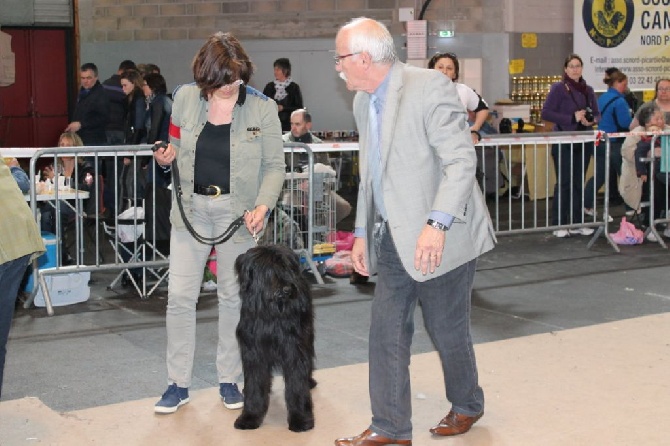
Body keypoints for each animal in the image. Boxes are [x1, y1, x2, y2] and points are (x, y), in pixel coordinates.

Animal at [234, 244, 318, 432]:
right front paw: (250, 416)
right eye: (268, 269)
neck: (271, 313)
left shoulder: (294, 349)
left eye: (287, 267)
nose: (287, 289)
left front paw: (300, 419)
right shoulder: (253, 352)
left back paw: (309, 381)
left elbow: (296, 384)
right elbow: (254, 385)